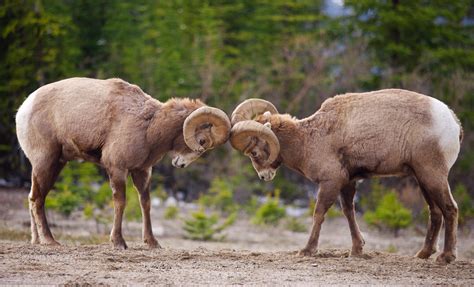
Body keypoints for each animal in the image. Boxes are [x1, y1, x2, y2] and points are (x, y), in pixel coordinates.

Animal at [14, 77, 230, 250]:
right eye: (202, 141)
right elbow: (120, 202)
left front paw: (152, 243)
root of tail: (23, 109)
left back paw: (36, 241)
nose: (180, 164)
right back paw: (50, 241)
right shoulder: (117, 168)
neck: (149, 128)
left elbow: (145, 203)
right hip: (46, 162)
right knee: (37, 199)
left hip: (55, 164)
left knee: (32, 196)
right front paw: (118, 242)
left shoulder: (142, 171)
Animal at [230, 89, 462, 264]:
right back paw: (423, 254)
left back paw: (446, 257)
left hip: (432, 175)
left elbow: (319, 213)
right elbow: (349, 212)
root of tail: (453, 122)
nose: (264, 177)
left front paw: (307, 250)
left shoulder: (330, 182)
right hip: (423, 179)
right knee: (435, 212)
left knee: (450, 209)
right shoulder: (348, 182)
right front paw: (357, 250)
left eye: (253, 152)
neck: (309, 140)